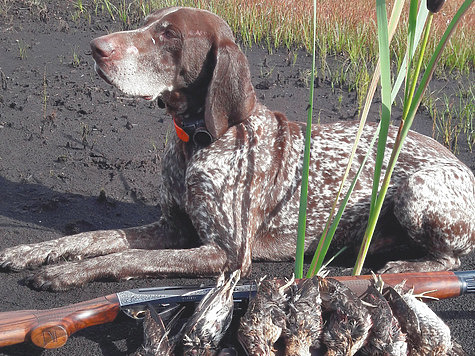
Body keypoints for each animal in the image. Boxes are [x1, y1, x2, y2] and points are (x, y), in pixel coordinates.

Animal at [0, 6, 475, 290]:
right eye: (147, 20)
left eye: (169, 35)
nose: (96, 48)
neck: (199, 142)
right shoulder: (172, 227)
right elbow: (96, 237)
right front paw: (34, 252)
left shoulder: (227, 253)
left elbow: (127, 256)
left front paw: (67, 272)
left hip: (417, 190)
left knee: (451, 258)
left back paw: (407, 268)